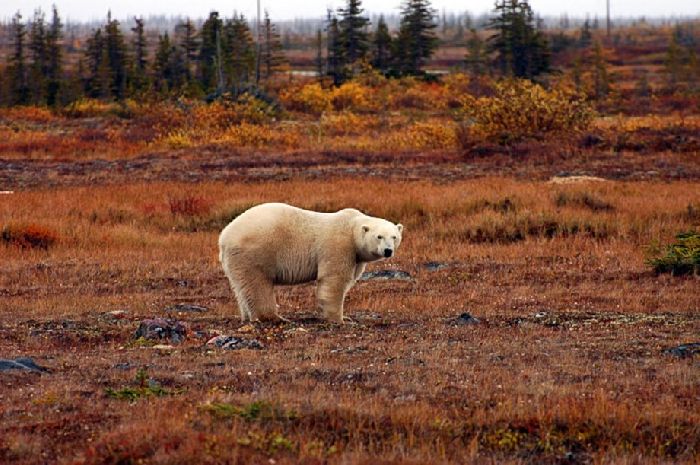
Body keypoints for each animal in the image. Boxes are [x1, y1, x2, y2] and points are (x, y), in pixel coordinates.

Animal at [219, 203, 404, 322]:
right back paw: (275, 317)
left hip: (236, 260)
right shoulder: (338, 246)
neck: (351, 227)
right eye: (379, 236)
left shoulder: (356, 256)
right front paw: (339, 318)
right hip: (256, 252)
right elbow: (334, 280)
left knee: (241, 287)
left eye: (394, 236)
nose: (388, 251)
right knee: (257, 284)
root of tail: (224, 236)